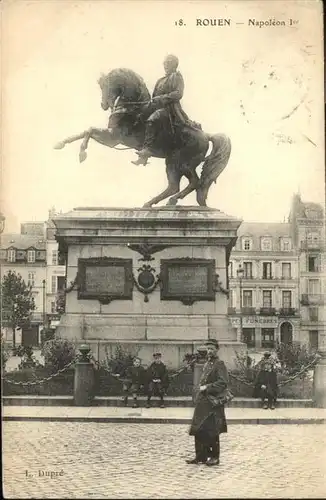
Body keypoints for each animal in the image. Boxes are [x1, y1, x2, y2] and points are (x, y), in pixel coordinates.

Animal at [54, 67, 232, 206]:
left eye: (106, 85)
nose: (104, 105)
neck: (132, 107)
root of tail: (206, 135)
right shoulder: (112, 138)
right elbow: (86, 131)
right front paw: (60, 143)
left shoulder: (114, 137)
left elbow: (89, 131)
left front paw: (82, 152)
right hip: (177, 163)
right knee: (182, 184)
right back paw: (154, 202)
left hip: (180, 162)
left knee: (187, 183)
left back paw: (167, 199)